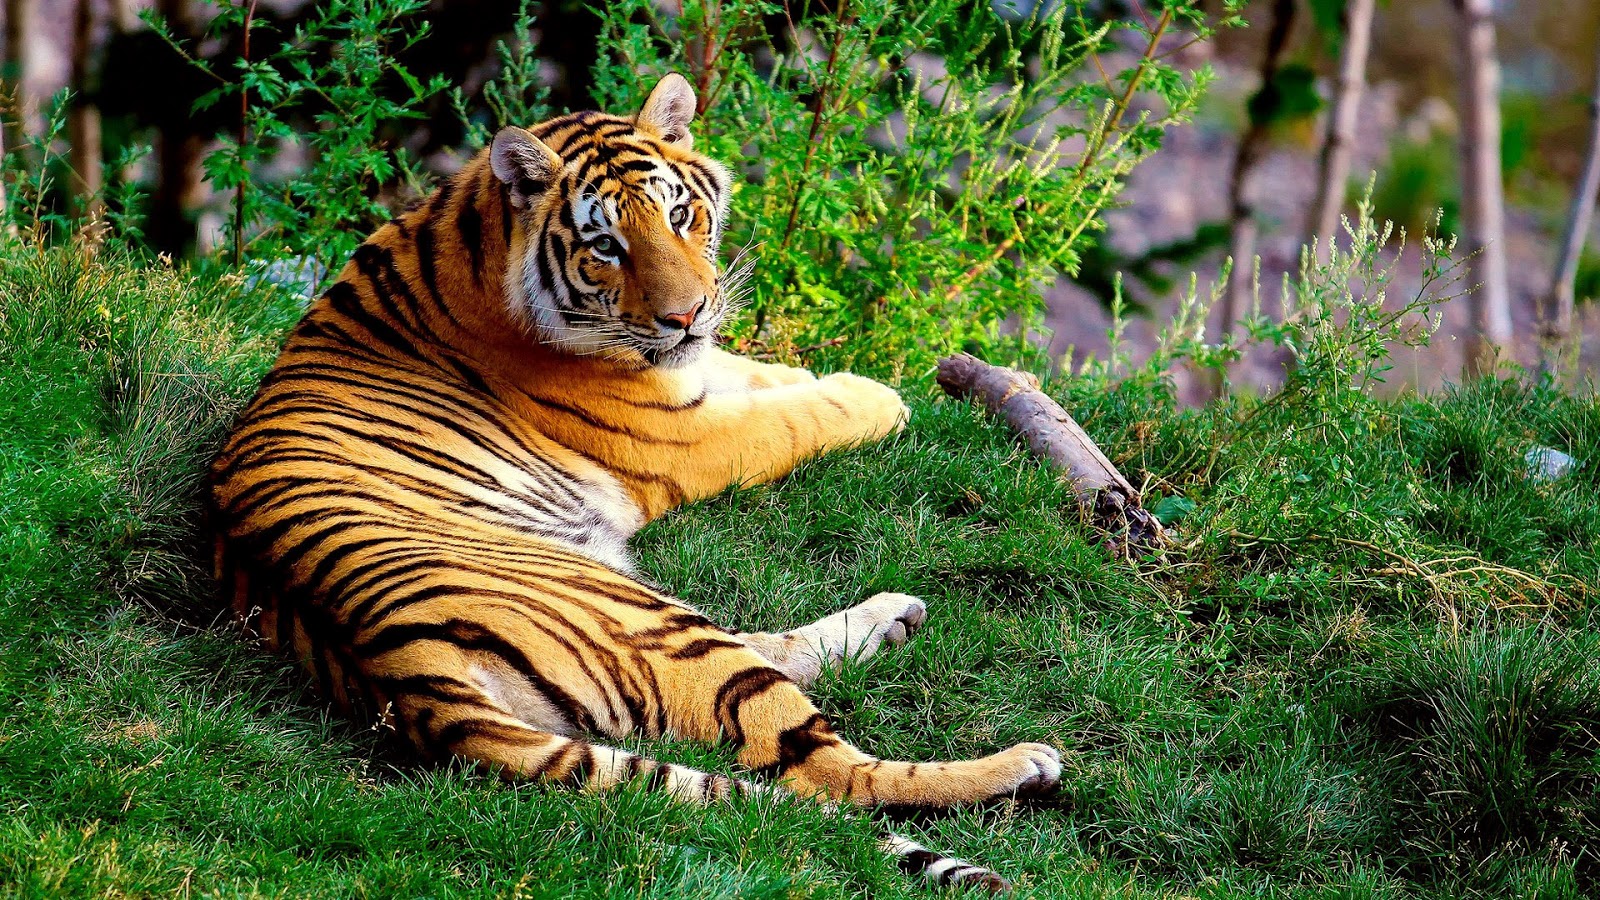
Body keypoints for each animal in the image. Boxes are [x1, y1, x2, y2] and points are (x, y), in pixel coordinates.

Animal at [208, 73, 1061, 892]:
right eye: (606, 246)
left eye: (681, 215)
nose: (686, 315)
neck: (474, 235)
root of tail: (398, 673)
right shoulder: (685, 438)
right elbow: (791, 419)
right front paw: (876, 397)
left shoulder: (691, 375)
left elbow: (754, 373)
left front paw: (807, 372)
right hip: (646, 618)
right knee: (826, 771)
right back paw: (1019, 763)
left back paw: (894, 618)